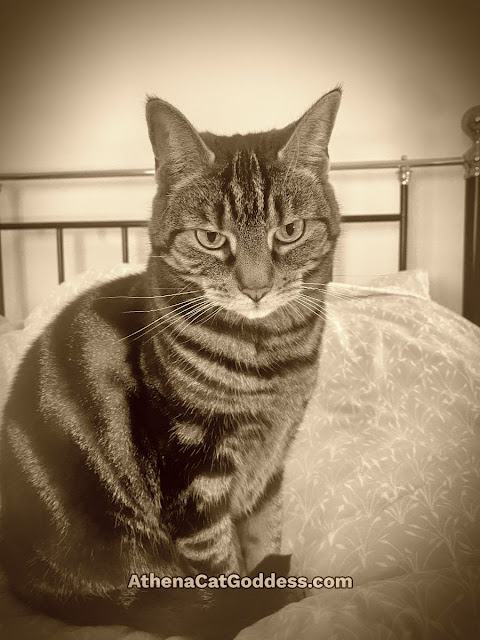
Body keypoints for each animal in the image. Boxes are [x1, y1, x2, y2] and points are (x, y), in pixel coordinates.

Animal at [1, 86, 344, 640]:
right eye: (211, 238)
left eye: (290, 231)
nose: (256, 288)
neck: (272, 360)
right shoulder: (194, 473)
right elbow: (223, 573)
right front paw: (251, 607)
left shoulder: (271, 466)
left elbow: (264, 538)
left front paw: (276, 592)